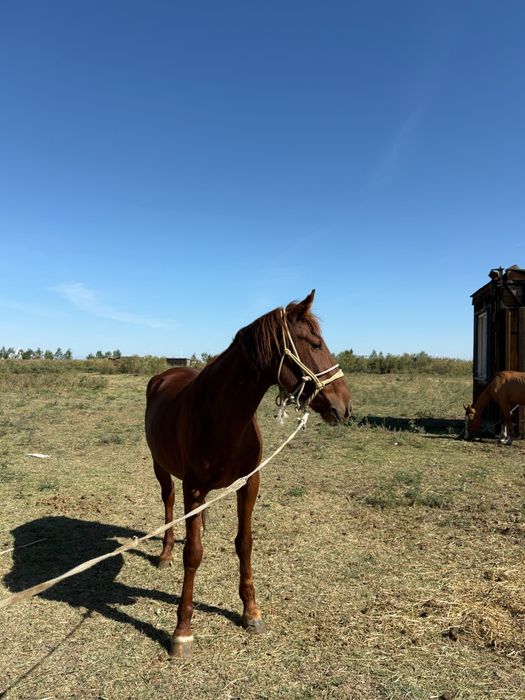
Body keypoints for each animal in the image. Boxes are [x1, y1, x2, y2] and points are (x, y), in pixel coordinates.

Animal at [145, 290, 351, 658]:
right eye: (315, 344)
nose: (344, 405)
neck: (221, 416)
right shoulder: (193, 489)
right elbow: (193, 554)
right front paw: (182, 631)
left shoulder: (248, 484)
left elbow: (245, 543)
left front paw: (250, 612)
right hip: (162, 468)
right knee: (168, 502)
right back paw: (165, 553)